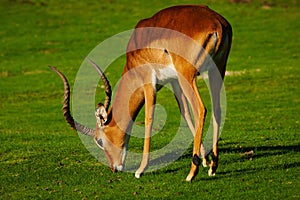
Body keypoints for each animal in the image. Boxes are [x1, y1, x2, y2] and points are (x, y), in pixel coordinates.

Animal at [50, 5, 232, 181]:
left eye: (99, 141)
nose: (114, 168)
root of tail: (216, 23)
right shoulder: (173, 81)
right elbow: (185, 113)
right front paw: (205, 160)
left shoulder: (148, 81)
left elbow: (149, 119)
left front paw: (140, 170)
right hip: (216, 71)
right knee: (216, 110)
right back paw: (213, 166)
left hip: (187, 75)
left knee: (201, 109)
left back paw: (191, 173)